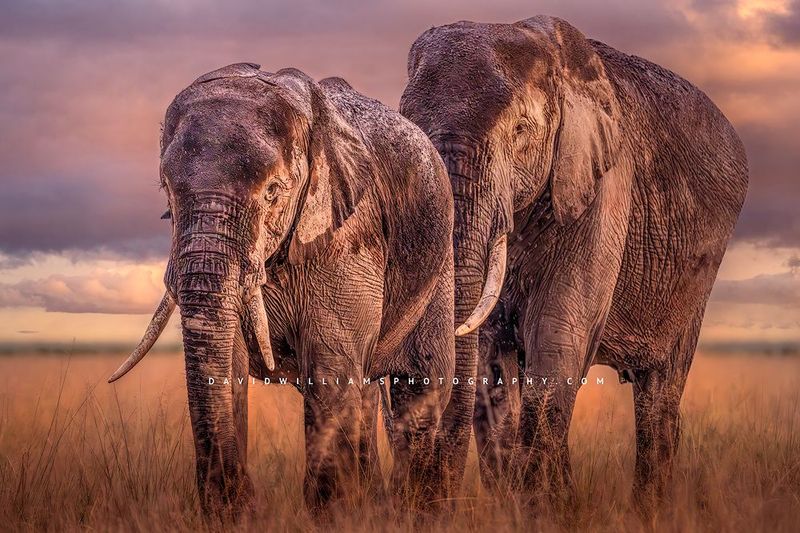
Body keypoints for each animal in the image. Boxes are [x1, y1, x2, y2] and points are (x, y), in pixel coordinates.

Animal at [108, 63, 460, 515]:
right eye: (167, 192)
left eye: (273, 191)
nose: (247, 500)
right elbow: (229, 363)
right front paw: (232, 512)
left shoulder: (349, 232)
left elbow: (330, 363)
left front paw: (333, 514)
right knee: (366, 390)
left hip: (439, 261)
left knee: (419, 386)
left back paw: (418, 510)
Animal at [400, 16, 748, 510]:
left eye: (522, 131)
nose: (432, 503)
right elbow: (491, 358)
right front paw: (524, 505)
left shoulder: (604, 184)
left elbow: (557, 334)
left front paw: (546, 508)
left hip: (696, 279)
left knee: (660, 392)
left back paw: (649, 511)